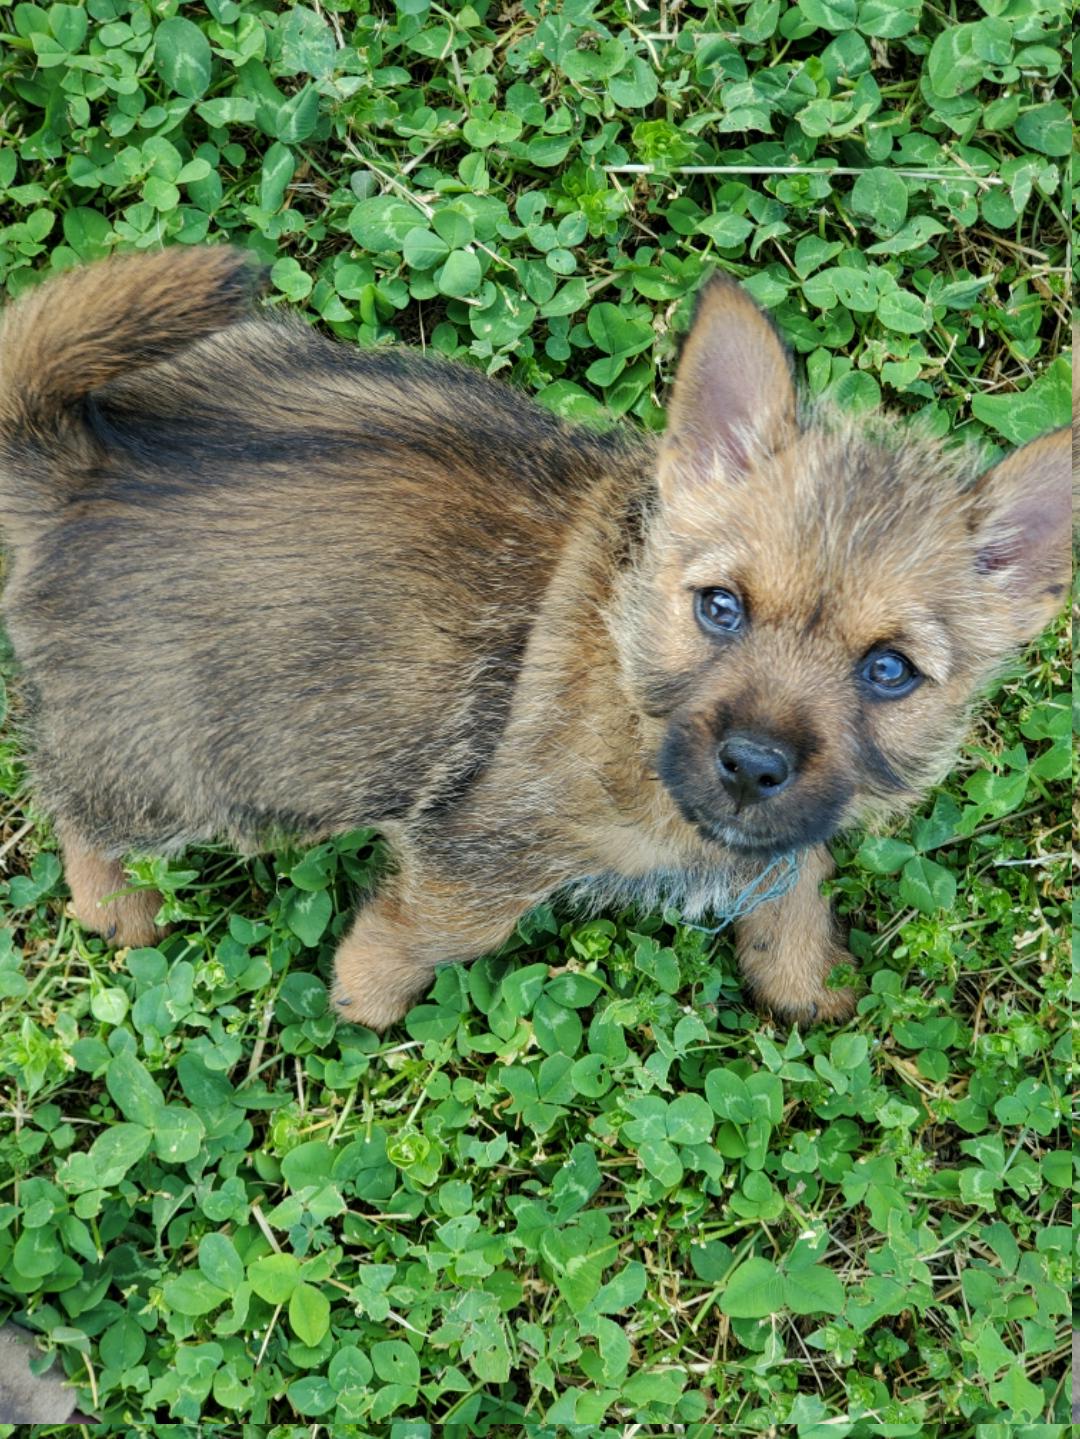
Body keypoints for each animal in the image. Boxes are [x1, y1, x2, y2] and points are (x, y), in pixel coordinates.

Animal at [0, 246, 1069, 1029]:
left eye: (890, 670)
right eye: (720, 607)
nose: (753, 763)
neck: (627, 674)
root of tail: (80, 470)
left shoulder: (780, 832)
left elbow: (794, 883)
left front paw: (811, 986)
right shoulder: (478, 855)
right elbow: (426, 934)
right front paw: (363, 1001)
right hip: (161, 763)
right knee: (84, 829)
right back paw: (124, 916)